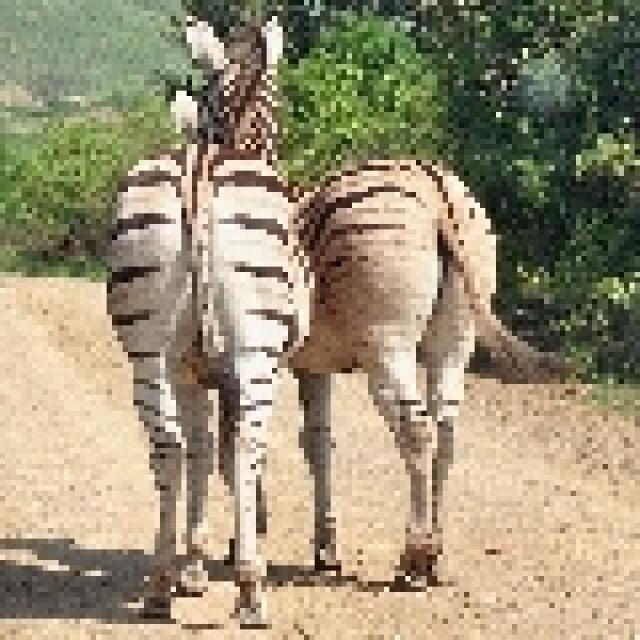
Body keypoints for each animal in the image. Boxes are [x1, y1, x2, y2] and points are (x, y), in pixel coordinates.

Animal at [105, 15, 310, 624]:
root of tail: (200, 168)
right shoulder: (237, 369)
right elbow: (228, 452)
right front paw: (237, 550)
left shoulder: (194, 370)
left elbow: (198, 449)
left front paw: (192, 566)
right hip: (255, 351)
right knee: (245, 449)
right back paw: (251, 592)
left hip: (149, 351)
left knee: (168, 450)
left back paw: (158, 587)